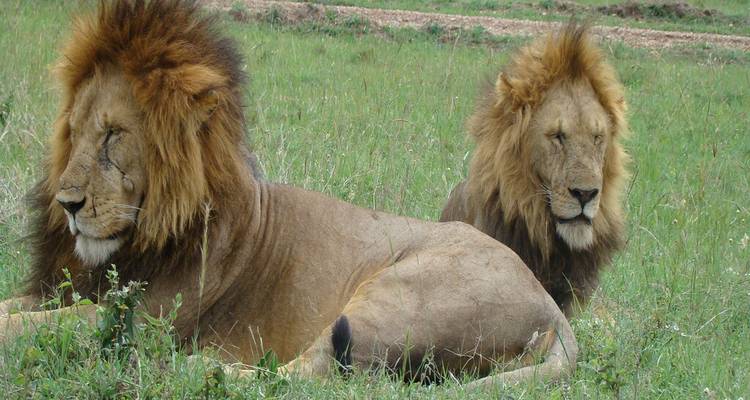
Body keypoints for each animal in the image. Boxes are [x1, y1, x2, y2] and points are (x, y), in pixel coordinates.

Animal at [0, 0, 577, 388]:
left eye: (114, 134)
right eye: (73, 132)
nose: (68, 205)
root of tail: (552, 307)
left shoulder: (142, 320)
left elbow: (27, 328)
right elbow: (16, 309)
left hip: (398, 297)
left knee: (312, 375)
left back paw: (204, 368)